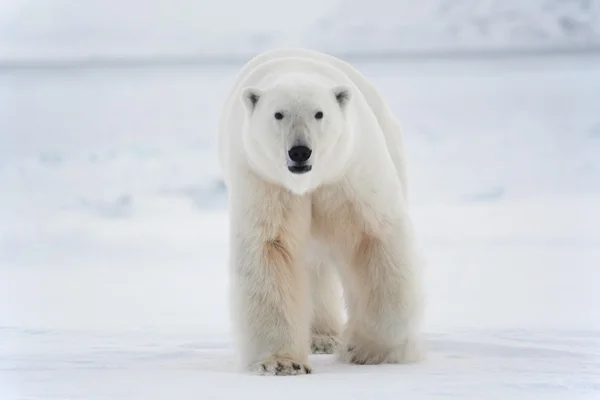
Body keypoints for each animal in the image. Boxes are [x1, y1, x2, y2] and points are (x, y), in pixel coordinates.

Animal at [218, 47, 424, 376]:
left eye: (319, 113)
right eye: (278, 114)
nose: (300, 151)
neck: (308, 183)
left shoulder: (348, 175)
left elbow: (372, 239)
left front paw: (372, 350)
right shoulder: (264, 181)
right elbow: (271, 249)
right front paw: (281, 363)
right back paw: (321, 337)